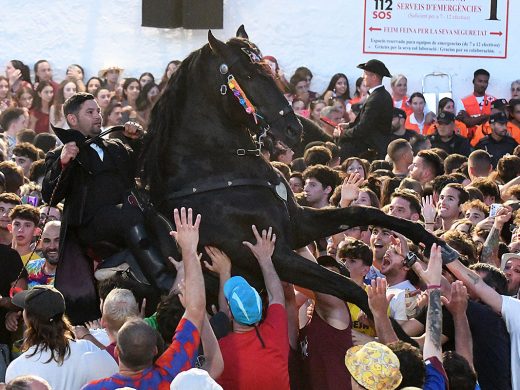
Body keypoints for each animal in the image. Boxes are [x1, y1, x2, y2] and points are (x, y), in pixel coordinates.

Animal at [139, 25, 460, 316]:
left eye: (271, 73)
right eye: (249, 75)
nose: (294, 128)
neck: (212, 172)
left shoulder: (298, 226)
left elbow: (366, 212)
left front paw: (437, 244)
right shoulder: (272, 253)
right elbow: (349, 287)